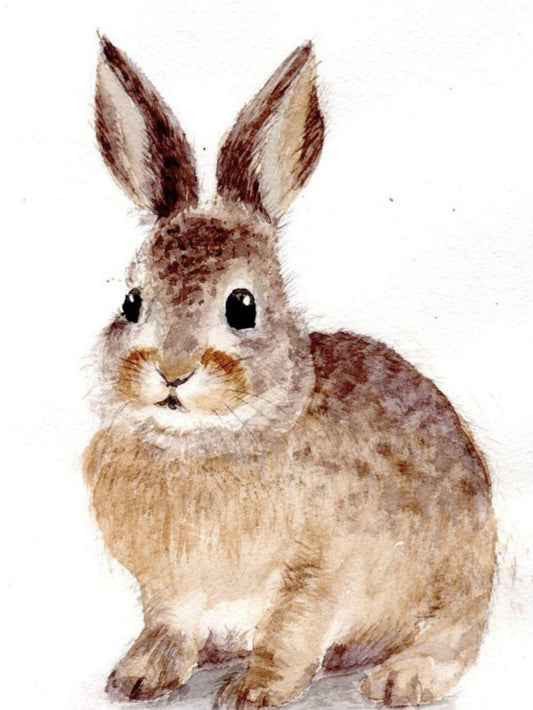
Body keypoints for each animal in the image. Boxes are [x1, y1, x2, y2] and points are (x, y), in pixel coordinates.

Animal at [84, 36, 496, 709]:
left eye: (241, 306)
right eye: (132, 303)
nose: (172, 372)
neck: (205, 445)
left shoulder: (318, 572)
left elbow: (290, 631)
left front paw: (253, 691)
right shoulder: (170, 585)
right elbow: (170, 624)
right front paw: (140, 676)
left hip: (456, 578)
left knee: (454, 638)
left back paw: (401, 679)